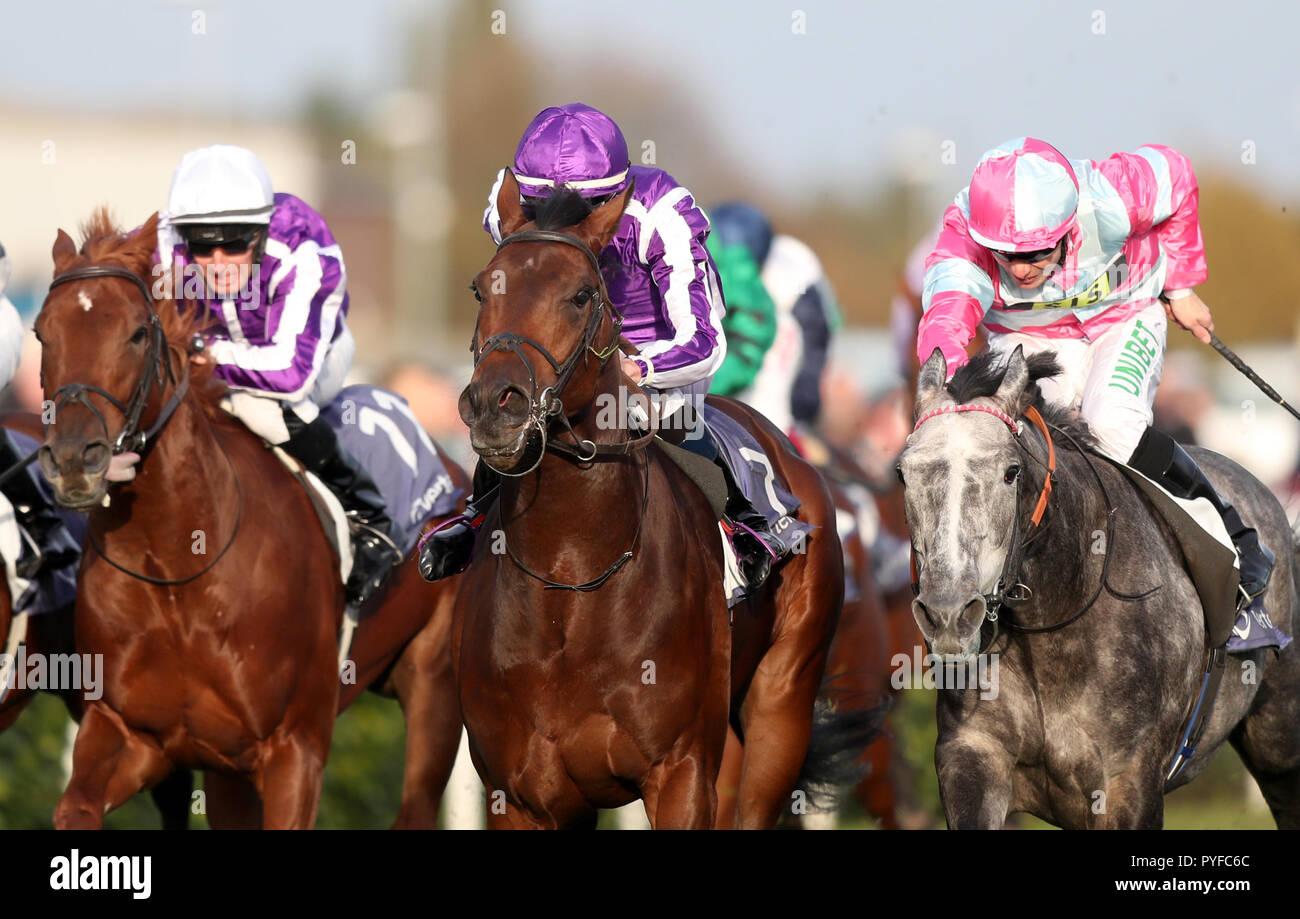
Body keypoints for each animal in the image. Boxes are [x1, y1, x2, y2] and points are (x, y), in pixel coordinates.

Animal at [449, 176, 883, 831]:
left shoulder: (682, 773)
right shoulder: (523, 793)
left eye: (581, 295)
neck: (569, 581)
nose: (494, 404)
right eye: (481, 287)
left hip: (782, 705)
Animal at [899, 345, 1300, 831]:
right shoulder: (971, 756)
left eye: (1011, 472)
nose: (948, 614)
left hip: (1280, 738)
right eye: (903, 474)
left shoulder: (1127, 782)